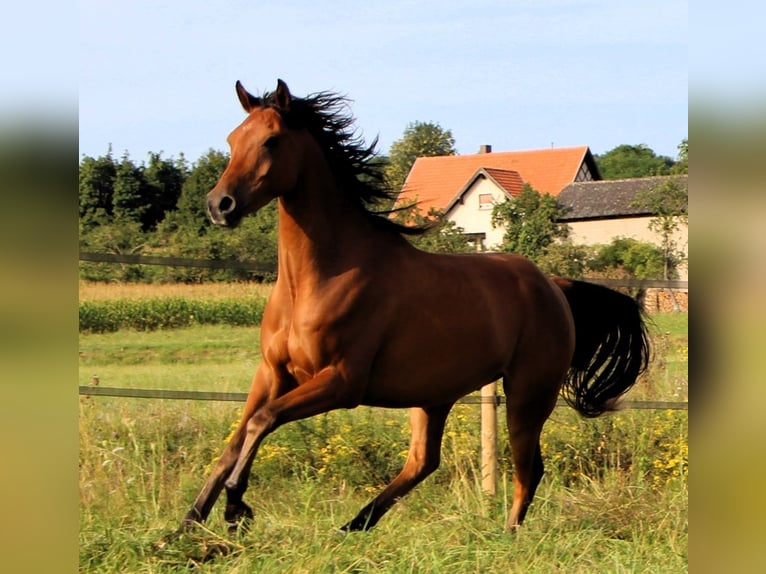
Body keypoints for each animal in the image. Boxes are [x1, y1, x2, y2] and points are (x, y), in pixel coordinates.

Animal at [186, 77, 648, 536]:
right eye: (232, 140)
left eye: (272, 140)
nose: (219, 205)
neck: (316, 280)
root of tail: (552, 285)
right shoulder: (272, 372)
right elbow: (236, 439)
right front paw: (188, 525)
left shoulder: (341, 381)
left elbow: (263, 420)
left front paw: (235, 507)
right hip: (433, 395)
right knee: (424, 461)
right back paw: (355, 524)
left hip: (528, 392)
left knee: (527, 469)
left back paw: (505, 536)